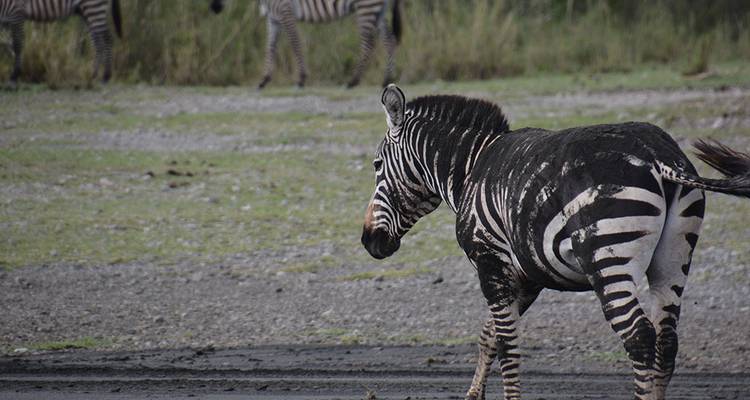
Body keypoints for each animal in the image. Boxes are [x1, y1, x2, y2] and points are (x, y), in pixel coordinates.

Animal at [210, 0, 401, 89]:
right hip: (378, 10)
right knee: (389, 40)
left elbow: (295, 44)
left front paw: (301, 79)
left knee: (368, 43)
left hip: (366, 7)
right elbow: (270, 47)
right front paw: (264, 80)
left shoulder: (285, 11)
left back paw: (352, 81)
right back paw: (386, 79)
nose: (214, 8)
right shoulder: (273, 18)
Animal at [361, 84, 750, 400]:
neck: (472, 168)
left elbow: (507, 345)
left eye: (377, 165)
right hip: (674, 256)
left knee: (639, 338)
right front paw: (474, 394)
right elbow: (490, 335)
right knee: (666, 341)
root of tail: (657, 157)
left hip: (608, 257)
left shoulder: (491, 261)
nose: (369, 242)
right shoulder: (526, 275)